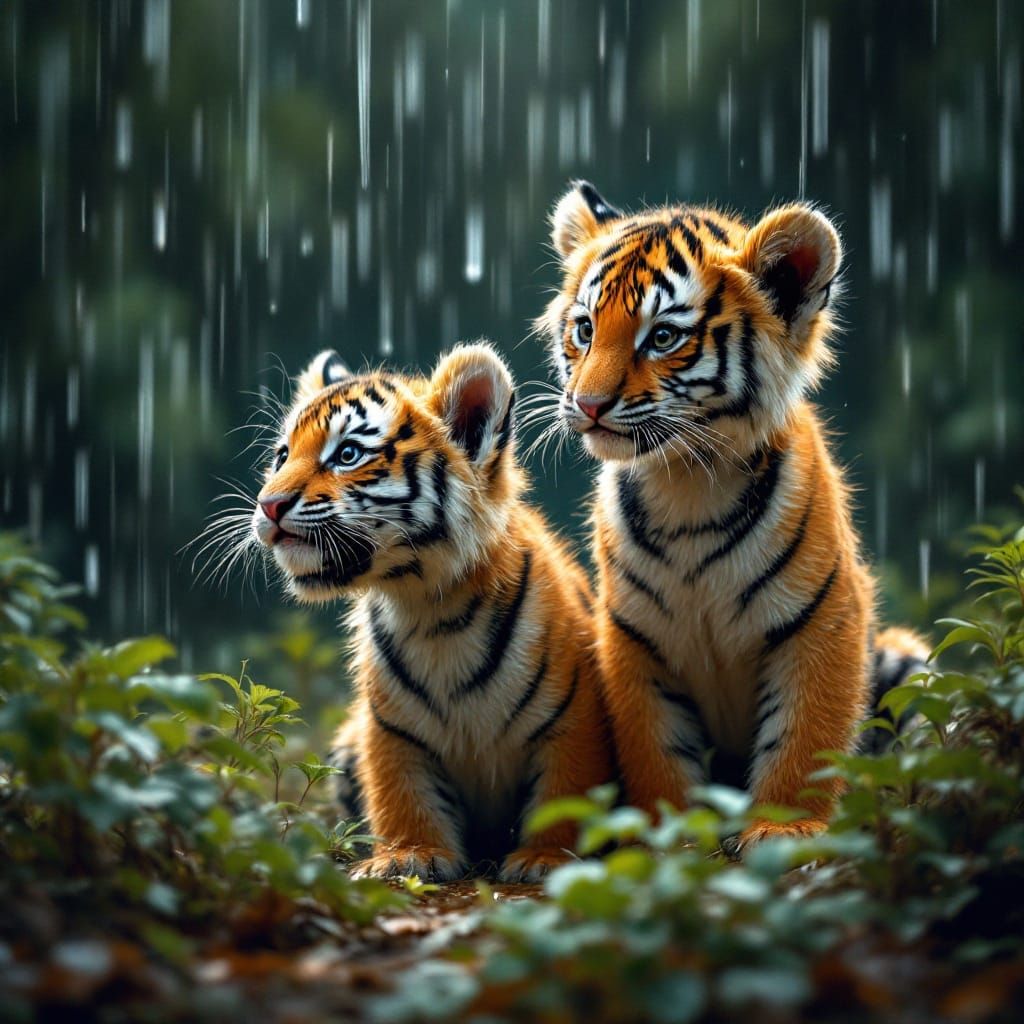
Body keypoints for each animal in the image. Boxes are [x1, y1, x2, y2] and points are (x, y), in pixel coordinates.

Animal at [250, 342, 612, 881]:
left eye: (347, 455)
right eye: (281, 456)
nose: (268, 505)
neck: (432, 609)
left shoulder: (572, 716)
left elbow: (564, 792)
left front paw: (546, 859)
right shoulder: (390, 726)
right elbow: (401, 791)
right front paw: (408, 856)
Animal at [536, 180, 929, 851]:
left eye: (662, 338)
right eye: (584, 329)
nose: (586, 405)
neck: (687, 483)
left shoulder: (820, 620)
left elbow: (806, 735)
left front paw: (786, 829)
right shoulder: (633, 640)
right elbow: (657, 754)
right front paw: (671, 842)